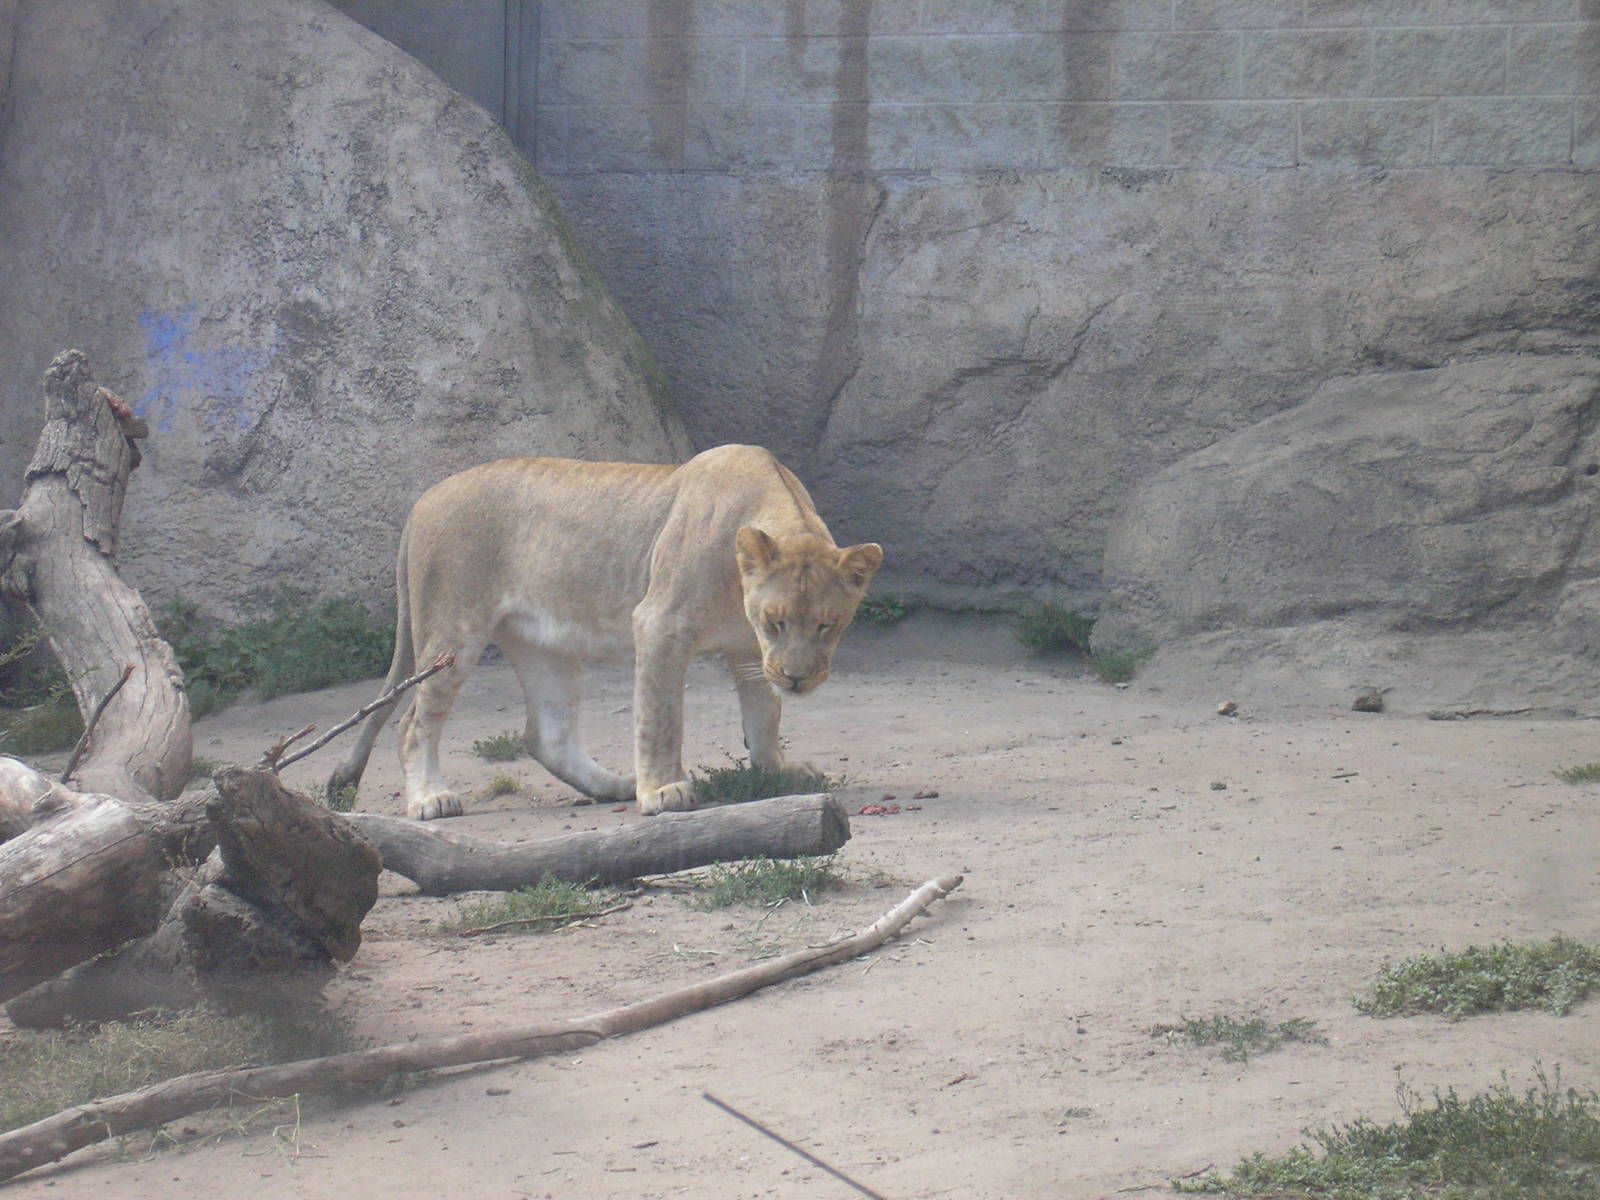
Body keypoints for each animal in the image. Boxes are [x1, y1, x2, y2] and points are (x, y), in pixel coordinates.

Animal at [328, 445, 882, 819]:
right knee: (411, 723)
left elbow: (765, 714)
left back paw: (613, 786)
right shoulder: (660, 623)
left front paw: (776, 771)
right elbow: (660, 718)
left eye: (827, 625)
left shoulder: (749, 649)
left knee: (546, 735)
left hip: (543, 644)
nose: (797, 679)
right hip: (451, 633)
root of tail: (424, 498)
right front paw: (662, 791)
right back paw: (431, 799)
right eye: (776, 621)